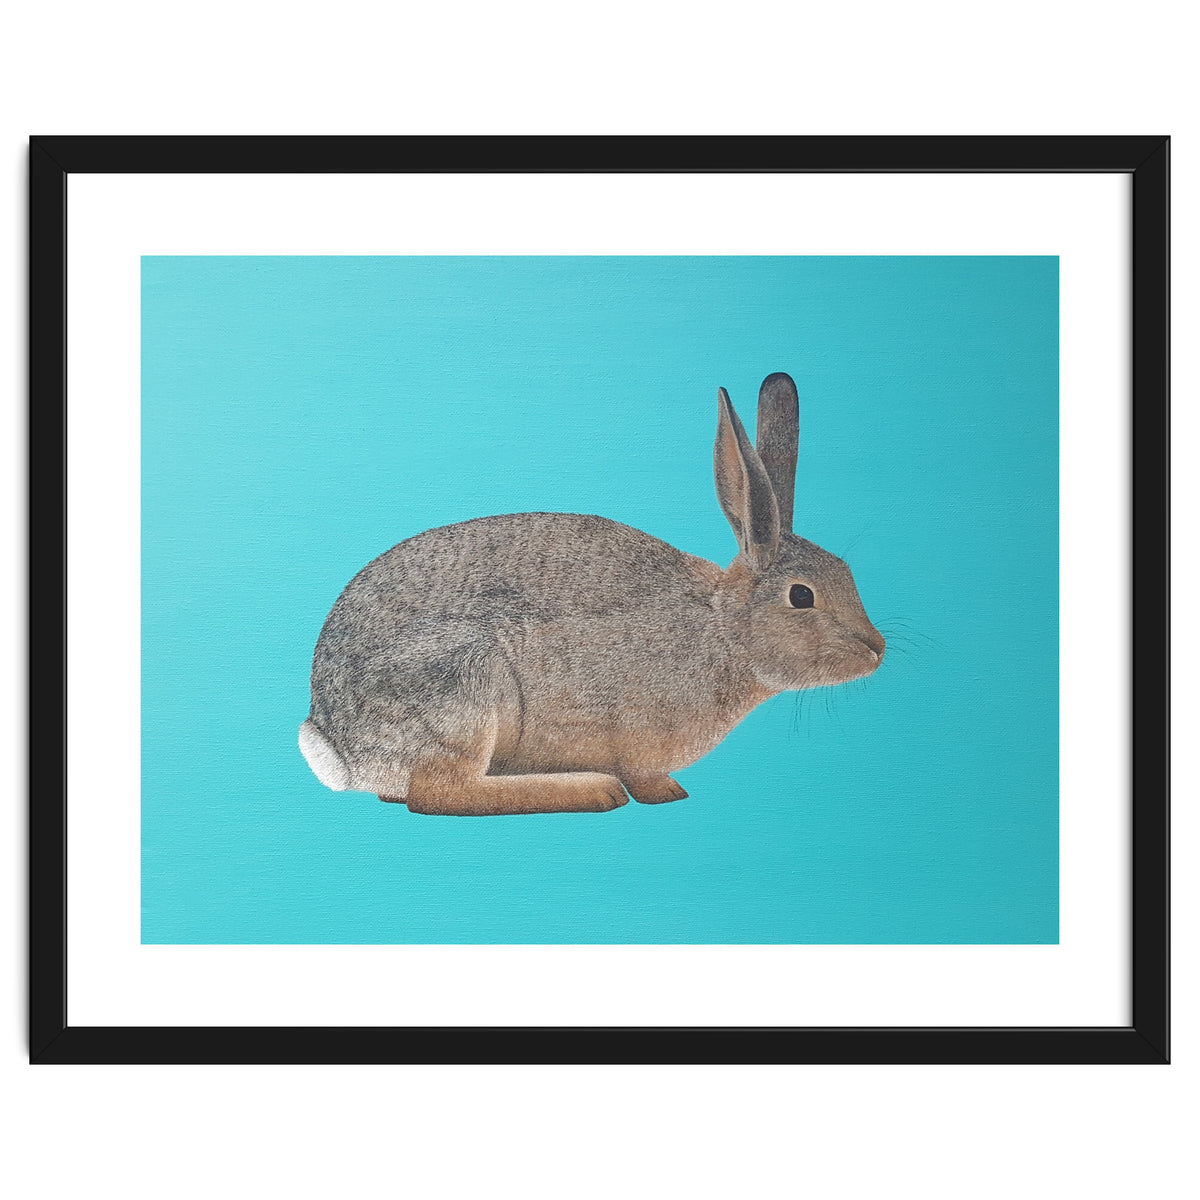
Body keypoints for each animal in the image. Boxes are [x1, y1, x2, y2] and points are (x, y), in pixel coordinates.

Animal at [299, 373, 884, 815]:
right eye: (802, 597)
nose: (876, 649)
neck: (724, 628)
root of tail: (338, 744)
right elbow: (644, 776)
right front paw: (665, 793)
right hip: (464, 683)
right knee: (439, 793)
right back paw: (592, 789)